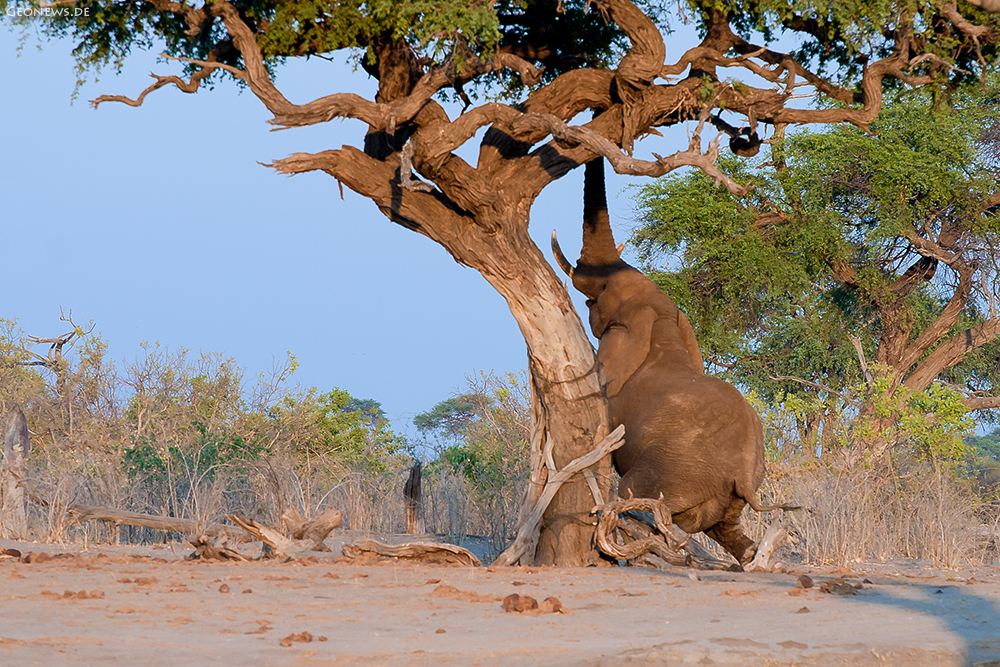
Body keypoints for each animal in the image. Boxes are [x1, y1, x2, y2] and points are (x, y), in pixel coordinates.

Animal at [552, 159, 784, 568]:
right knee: (727, 531)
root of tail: (742, 475)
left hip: (673, 470)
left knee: (631, 497)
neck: (660, 320)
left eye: (601, 295)